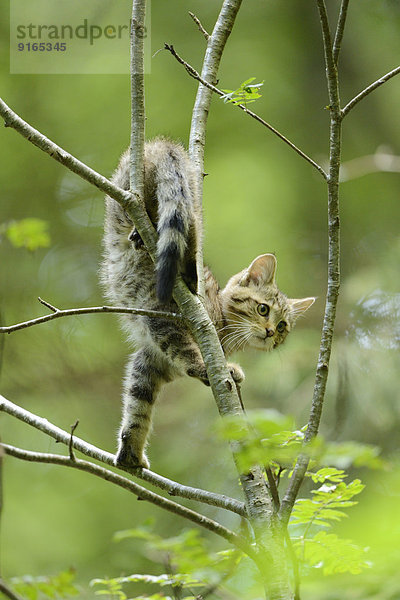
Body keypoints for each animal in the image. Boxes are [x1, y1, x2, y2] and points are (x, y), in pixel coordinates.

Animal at [101, 138, 316, 466]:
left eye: (282, 327)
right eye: (262, 309)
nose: (270, 333)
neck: (225, 331)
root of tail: (158, 144)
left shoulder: (149, 361)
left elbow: (137, 405)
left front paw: (130, 451)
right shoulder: (162, 319)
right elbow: (186, 354)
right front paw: (207, 368)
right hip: (173, 206)